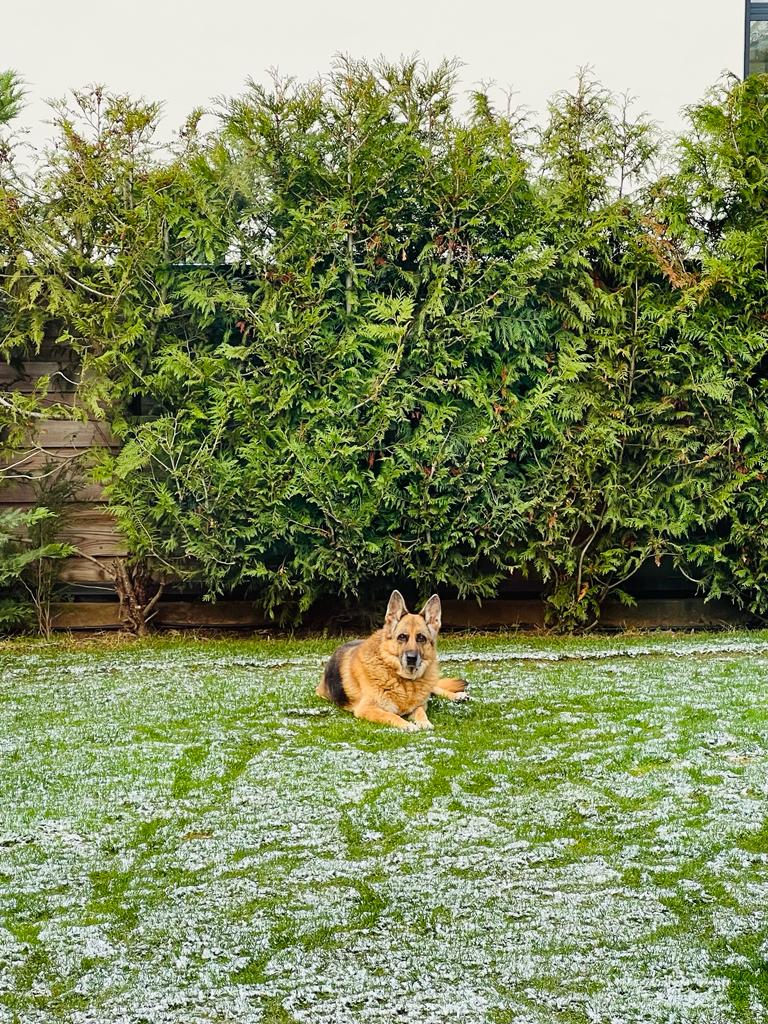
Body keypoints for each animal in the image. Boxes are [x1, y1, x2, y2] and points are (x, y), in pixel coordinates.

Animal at [317, 589, 468, 733]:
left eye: (421, 638)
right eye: (402, 637)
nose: (411, 658)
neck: (402, 679)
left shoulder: (419, 705)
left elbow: (420, 712)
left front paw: (425, 722)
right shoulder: (367, 709)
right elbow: (390, 715)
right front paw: (408, 725)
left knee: (435, 688)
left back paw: (457, 695)